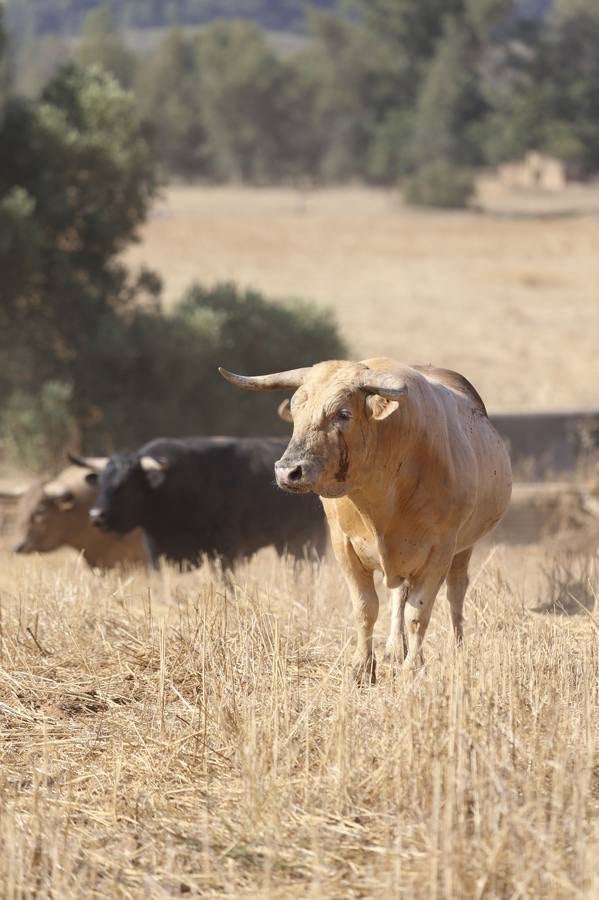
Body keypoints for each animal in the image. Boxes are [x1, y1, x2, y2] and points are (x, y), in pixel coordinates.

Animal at [82, 438, 328, 568]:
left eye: (127, 485)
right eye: (101, 483)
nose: (96, 516)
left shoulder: (226, 551)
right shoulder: (156, 554)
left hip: (309, 541)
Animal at [220, 358, 510, 684]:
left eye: (343, 413)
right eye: (295, 410)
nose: (288, 471)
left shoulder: (440, 551)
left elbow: (418, 613)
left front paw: (413, 668)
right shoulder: (344, 547)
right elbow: (366, 608)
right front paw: (363, 667)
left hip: (463, 549)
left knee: (455, 594)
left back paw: (454, 650)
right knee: (398, 597)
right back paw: (395, 650)